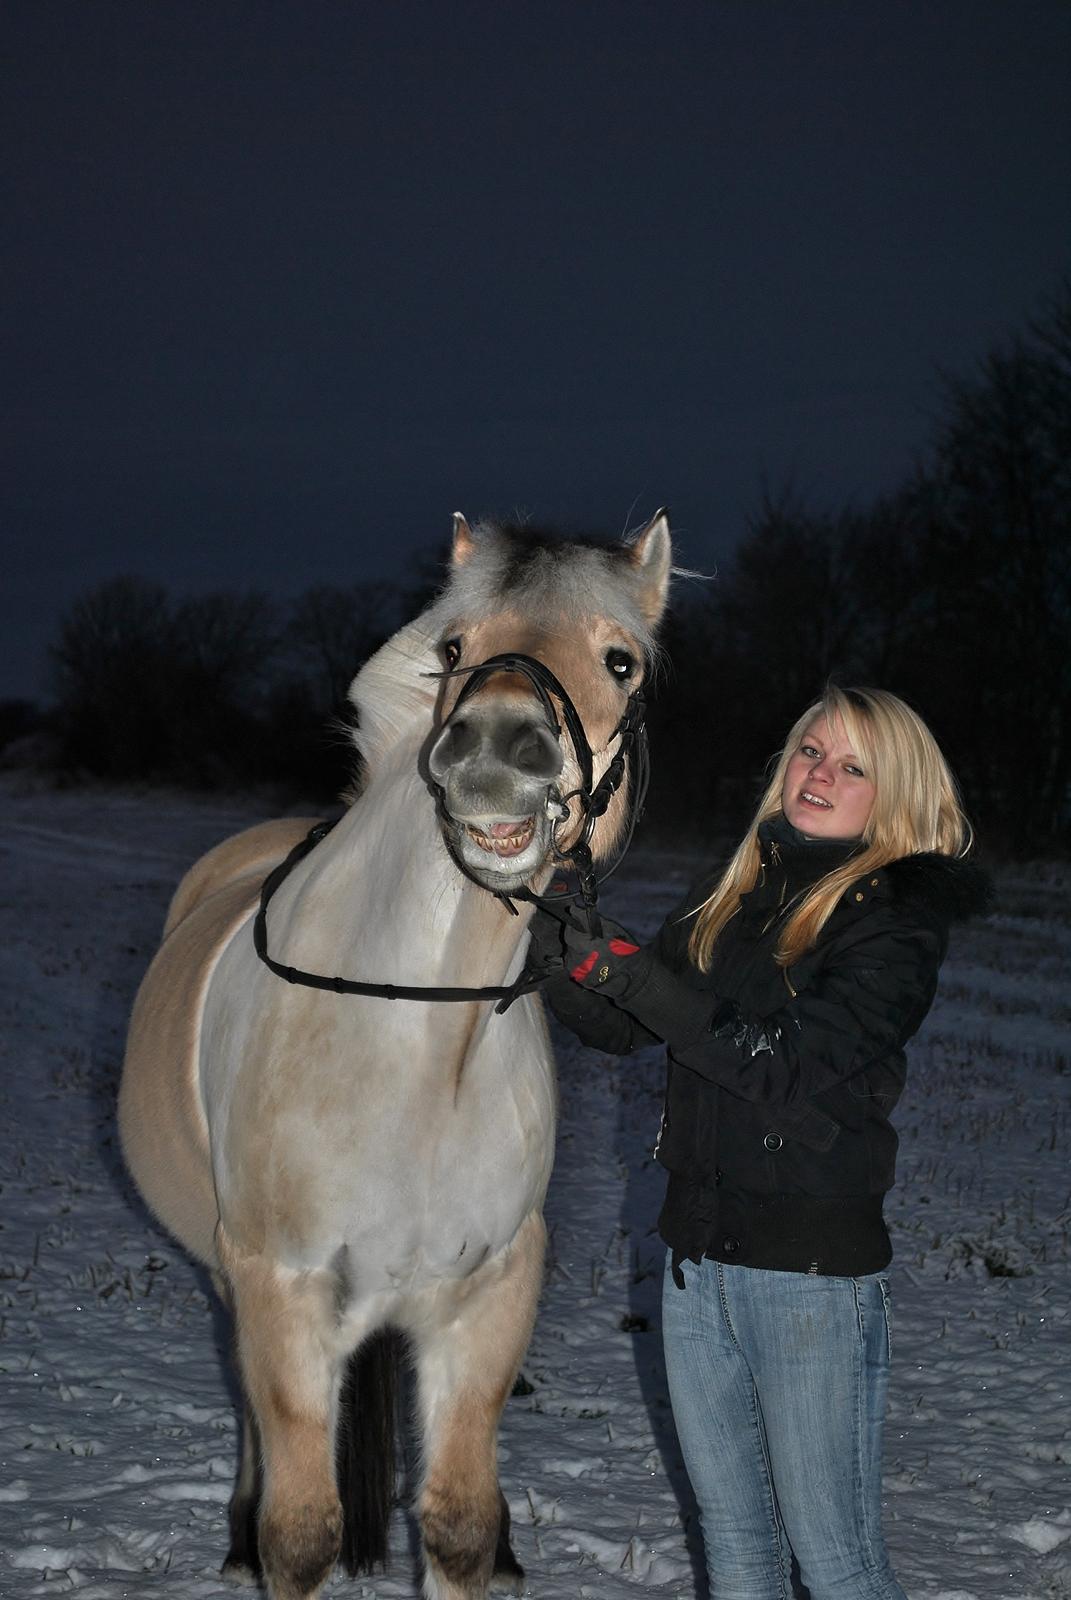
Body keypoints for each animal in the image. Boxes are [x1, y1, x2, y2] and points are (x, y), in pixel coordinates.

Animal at [116, 515, 669, 1600]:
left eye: (621, 660)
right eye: (453, 649)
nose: (497, 746)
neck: (417, 1044)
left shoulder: (487, 1297)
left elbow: (457, 1521)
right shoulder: (281, 1287)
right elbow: (300, 1531)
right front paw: (265, 1538)